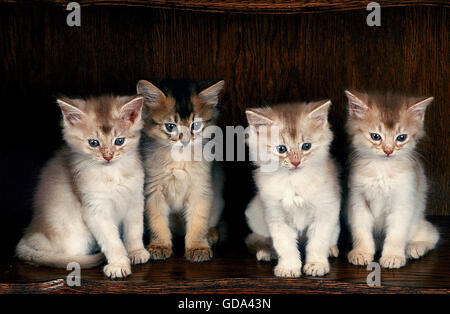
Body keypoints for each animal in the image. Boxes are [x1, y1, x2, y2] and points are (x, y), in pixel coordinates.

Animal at [15, 94, 149, 278]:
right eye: (93, 143)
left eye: (119, 141)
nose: (108, 156)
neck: (112, 174)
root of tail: (29, 232)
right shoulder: (95, 209)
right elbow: (112, 241)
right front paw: (118, 264)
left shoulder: (135, 199)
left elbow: (135, 230)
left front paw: (136, 252)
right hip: (75, 235)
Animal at [134, 78, 224, 262]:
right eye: (171, 126)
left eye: (195, 125)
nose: (185, 141)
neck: (179, 159)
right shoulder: (153, 190)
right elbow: (157, 221)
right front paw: (160, 245)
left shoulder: (201, 188)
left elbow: (198, 221)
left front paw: (198, 247)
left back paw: (211, 234)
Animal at [246, 100, 342, 278]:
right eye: (281, 149)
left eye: (306, 146)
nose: (296, 162)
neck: (293, 180)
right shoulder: (276, 215)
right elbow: (285, 246)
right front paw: (288, 268)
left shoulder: (325, 210)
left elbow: (318, 243)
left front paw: (316, 265)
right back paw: (266, 251)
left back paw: (331, 250)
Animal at [344, 89, 440, 268]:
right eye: (376, 136)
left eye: (401, 138)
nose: (388, 151)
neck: (382, 170)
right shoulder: (358, 201)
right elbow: (361, 230)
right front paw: (362, 252)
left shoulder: (402, 202)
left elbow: (396, 234)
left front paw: (393, 256)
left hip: (418, 223)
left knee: (432, 234)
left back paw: (415, 248)